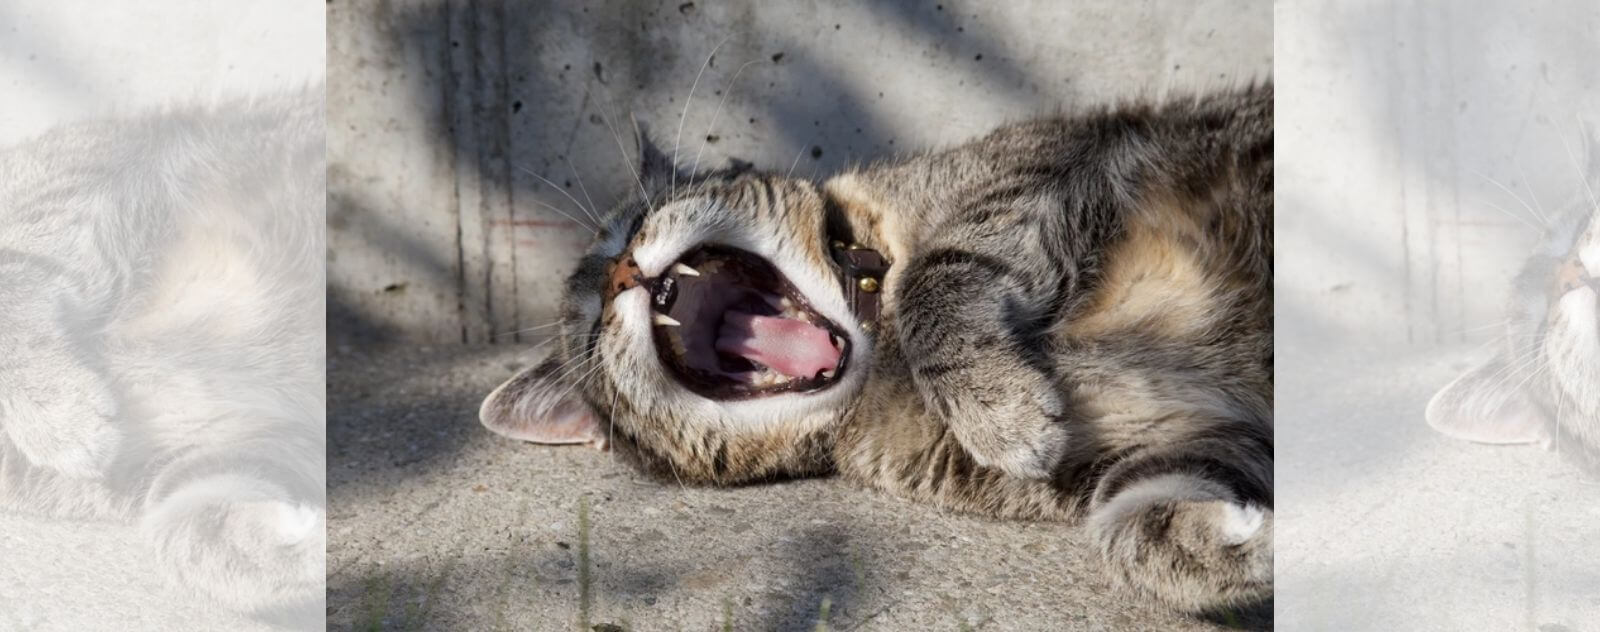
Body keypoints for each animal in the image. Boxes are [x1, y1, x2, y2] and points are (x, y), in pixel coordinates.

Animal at [476, 81, 1273, 611]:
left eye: (633, 221)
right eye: (587, 330)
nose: (618, 275)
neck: (879, 343)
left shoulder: (1034, 173)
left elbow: (934, 275)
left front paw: (996, 407)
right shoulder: (1172, 443)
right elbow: (1130, 525)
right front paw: (1241, 549)